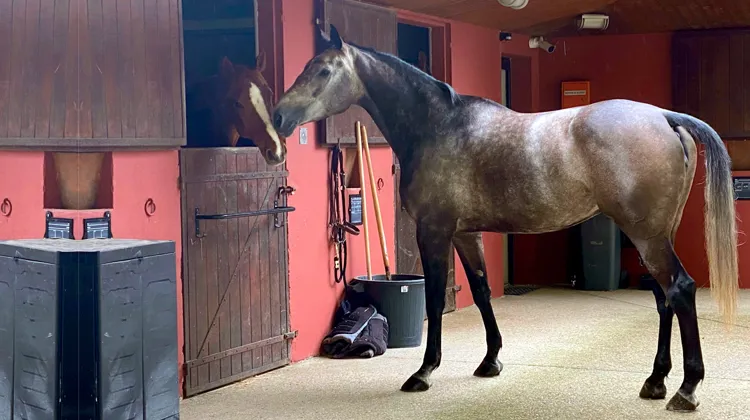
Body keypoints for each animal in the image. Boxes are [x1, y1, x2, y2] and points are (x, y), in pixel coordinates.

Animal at [272, 25, 739, 412]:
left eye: (324, 70)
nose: (278, 115)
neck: (439, 126)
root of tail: (664, 116)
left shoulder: (434, 232)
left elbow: (435, 299)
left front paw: (423, 372)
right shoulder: (467, 234)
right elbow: (480, 292)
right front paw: (490, 361)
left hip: (647, 236)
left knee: (680, 290)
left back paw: (686, 390)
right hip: (655, 236)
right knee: (663, 299)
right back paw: (656, 381)